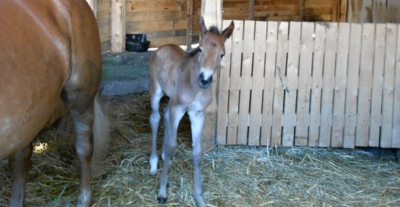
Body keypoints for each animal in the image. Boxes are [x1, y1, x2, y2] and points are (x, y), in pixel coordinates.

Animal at [148, 18, 233, 207]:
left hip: (171, 99)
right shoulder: (179, 109)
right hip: (156, 91)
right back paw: (153, 163)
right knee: (156, 118)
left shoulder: (197, 113)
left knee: (165, 115)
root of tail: (164, 46)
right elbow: (172, 145)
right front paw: (162, 192)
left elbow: (198, 153)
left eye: (222, 54)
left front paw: (199, 198)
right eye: (200, 49)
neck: (195, 87)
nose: (205, 80)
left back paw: (162, 155)